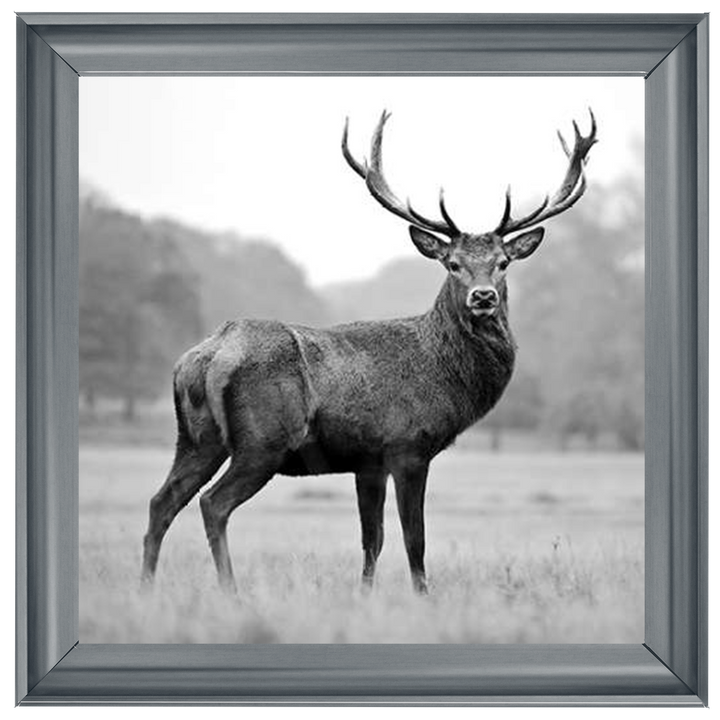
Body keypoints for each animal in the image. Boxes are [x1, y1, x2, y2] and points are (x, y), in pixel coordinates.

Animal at [141, 109, 597, 595]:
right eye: (452, 263)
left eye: (503, 263)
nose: (483, 297)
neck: (444, 376)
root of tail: (206, 356)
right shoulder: (408, 446)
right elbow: (414, 538)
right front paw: (423, 596)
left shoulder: (368, 461)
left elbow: (371, 539)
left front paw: (365, 595)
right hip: (263, 440)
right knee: (213, 503)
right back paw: (231, 591)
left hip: (196, 437)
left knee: (161, 501)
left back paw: (146, 587)